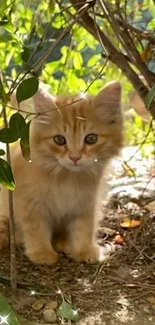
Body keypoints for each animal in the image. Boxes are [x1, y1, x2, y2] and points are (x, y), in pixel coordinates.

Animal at [0, 81, 123, 264]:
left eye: (91, 139)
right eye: (59, 140)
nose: (75, 157)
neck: (67, 179)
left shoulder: (86, 204)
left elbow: (84, 228)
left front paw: (84, 250)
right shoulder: (29, 203)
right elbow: (35, 229)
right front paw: (42, 253)